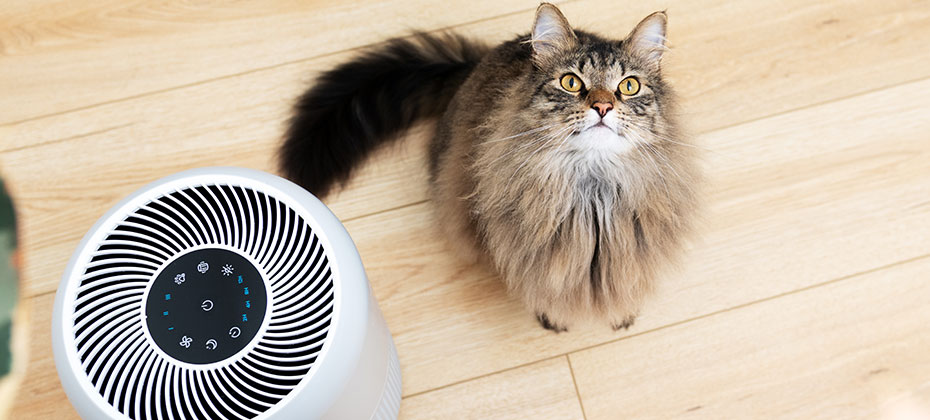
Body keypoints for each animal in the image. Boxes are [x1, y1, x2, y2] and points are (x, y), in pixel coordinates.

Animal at [280, 3, 700, 332]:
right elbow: (547, 289)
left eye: (628, 87)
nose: (602, 106)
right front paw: (553, 317)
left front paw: (622, 313)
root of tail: (473, 67)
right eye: (570, 82)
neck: (592, 193)